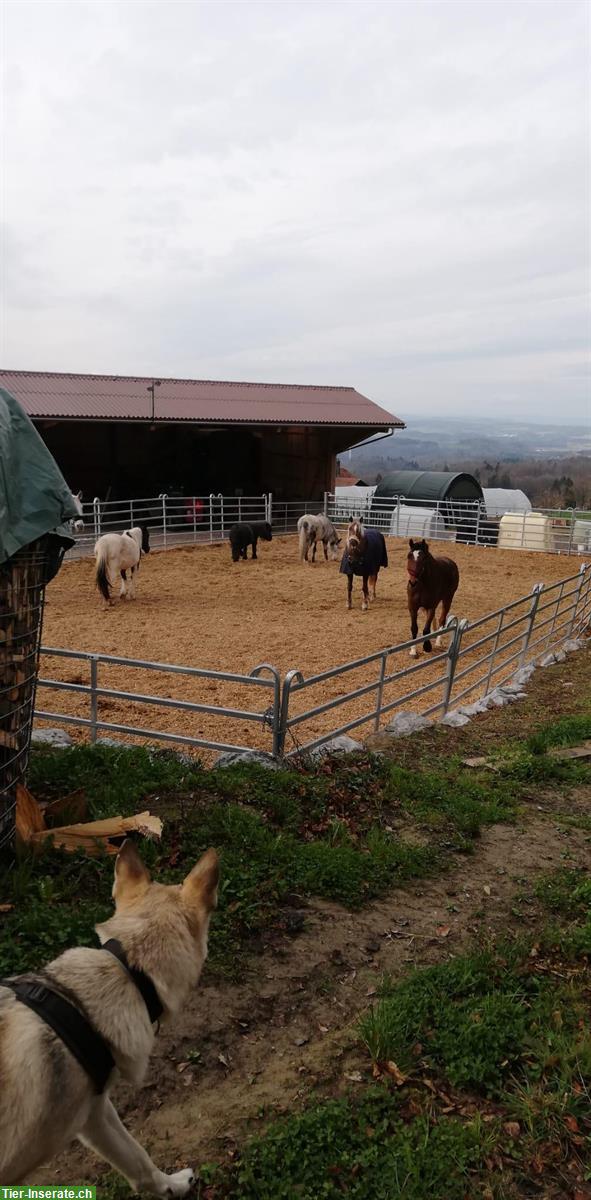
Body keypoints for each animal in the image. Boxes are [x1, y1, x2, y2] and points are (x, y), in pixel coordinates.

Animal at [0, 840, 219, 1195]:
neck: (128, 969)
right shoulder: (95, 1115)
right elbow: (140, 1158)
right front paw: (176, 1187)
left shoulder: (94, 1115)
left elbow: (138, 1166)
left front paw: (170, 1186)